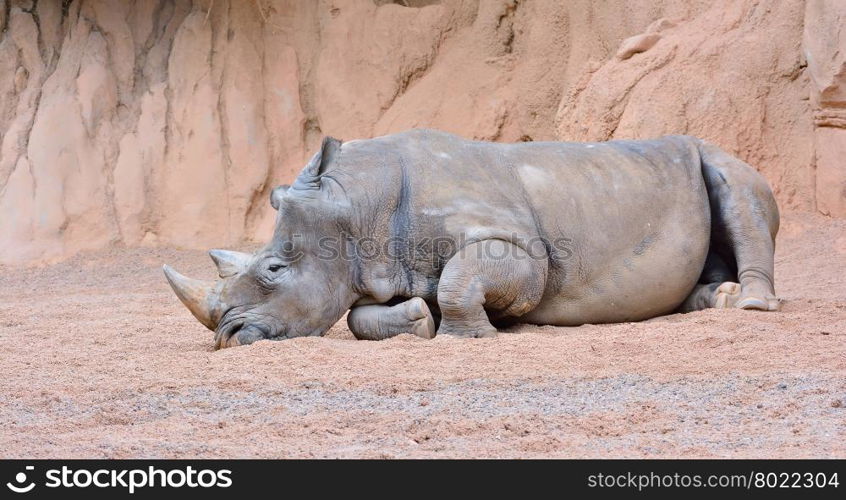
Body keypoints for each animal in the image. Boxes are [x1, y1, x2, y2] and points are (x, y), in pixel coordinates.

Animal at [164, 129, 780, 348]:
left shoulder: (521, 249)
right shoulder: (378, 264)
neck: (358, 203)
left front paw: (474, 336)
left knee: (737, 188)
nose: (226, 337)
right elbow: (360, 316)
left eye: (274, 271)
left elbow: (463, 280)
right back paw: (715, 299)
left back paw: (750, 304)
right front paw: (418, 320)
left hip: (713, 153)